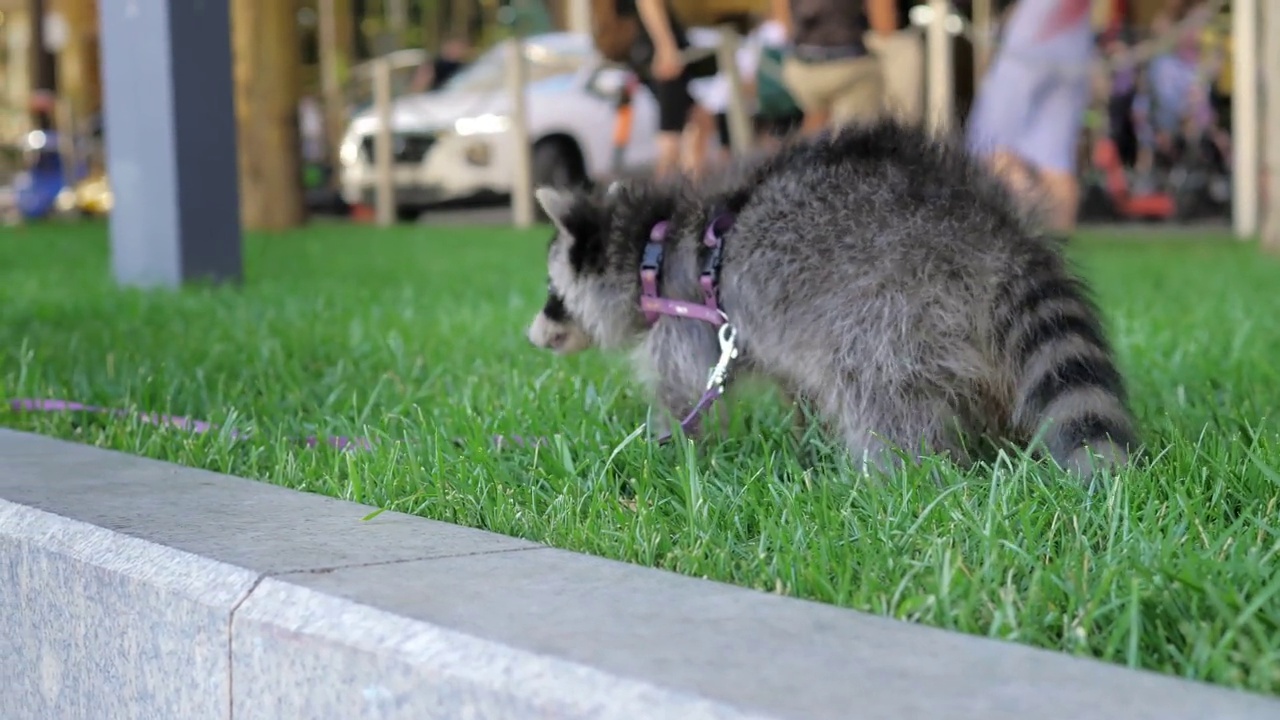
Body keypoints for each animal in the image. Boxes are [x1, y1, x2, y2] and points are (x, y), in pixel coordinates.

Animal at [524, 117, 1136, 479]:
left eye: (553, 295)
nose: (533, 335)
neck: (649, 242)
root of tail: (993, 227)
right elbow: (794, 386)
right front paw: (806, 436)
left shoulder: (688, 320)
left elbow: (684, 390)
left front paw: (667, 441)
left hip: (889, 301)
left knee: (878, 392)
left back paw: (900, 472)